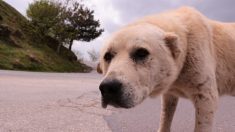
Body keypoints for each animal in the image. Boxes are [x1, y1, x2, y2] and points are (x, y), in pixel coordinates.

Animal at [96, 6, 234, 132]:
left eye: (141, 53)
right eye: (107, 56)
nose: (108, 87)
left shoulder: (206, 98)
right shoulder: (169, 95)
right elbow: (165, 118)